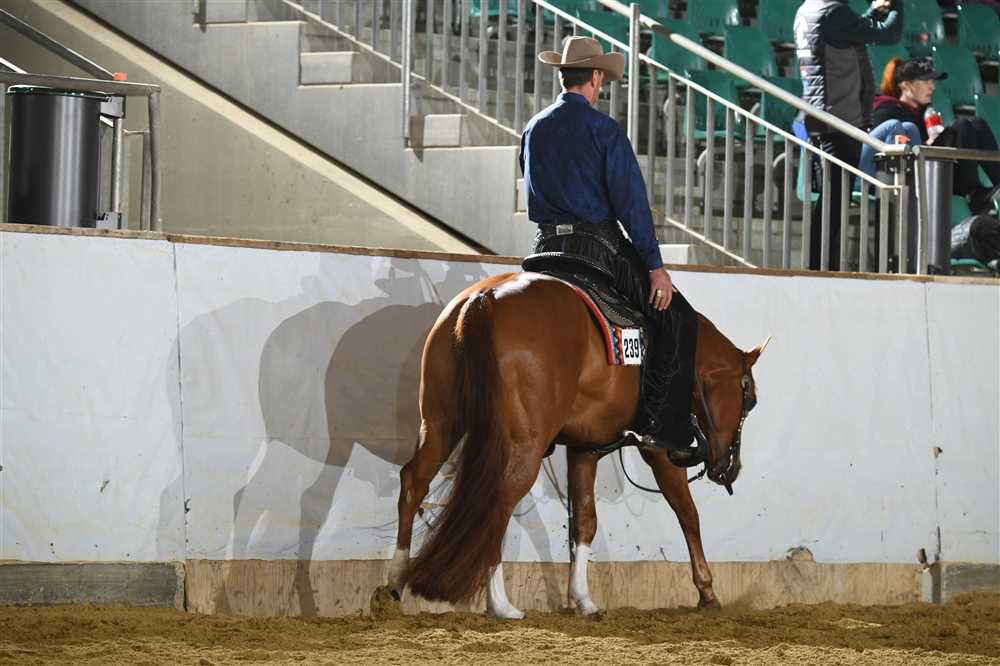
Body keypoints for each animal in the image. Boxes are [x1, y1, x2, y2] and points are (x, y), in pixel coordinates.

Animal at [381, 271, 768, 618]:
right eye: (749, 399)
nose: (730, 468)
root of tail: (483, 299)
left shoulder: (585, 447)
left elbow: (584, 520)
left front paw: (582, 599)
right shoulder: (658, 449)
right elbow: (687, 513)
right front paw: (707, 590)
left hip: (440, 424)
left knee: (415, 481)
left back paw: (396, 583)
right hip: (522, 445)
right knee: (496, 503)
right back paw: (501, 605)